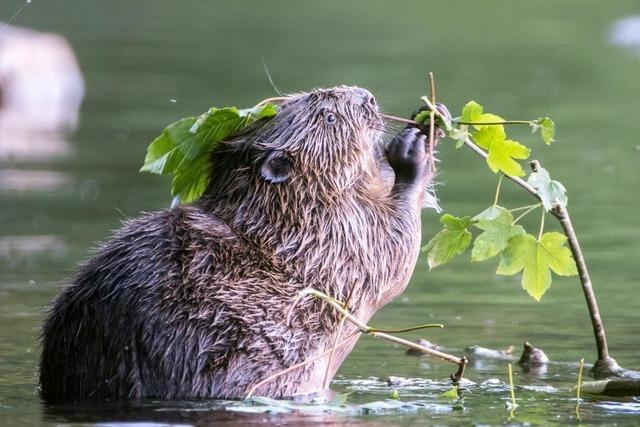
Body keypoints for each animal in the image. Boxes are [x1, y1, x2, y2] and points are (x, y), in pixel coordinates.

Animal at [38, 86, 440, 402]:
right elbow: (394, 253)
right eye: (328, 117)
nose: (367, 98)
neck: (284, 218)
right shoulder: (341, 238)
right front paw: (412, 149)